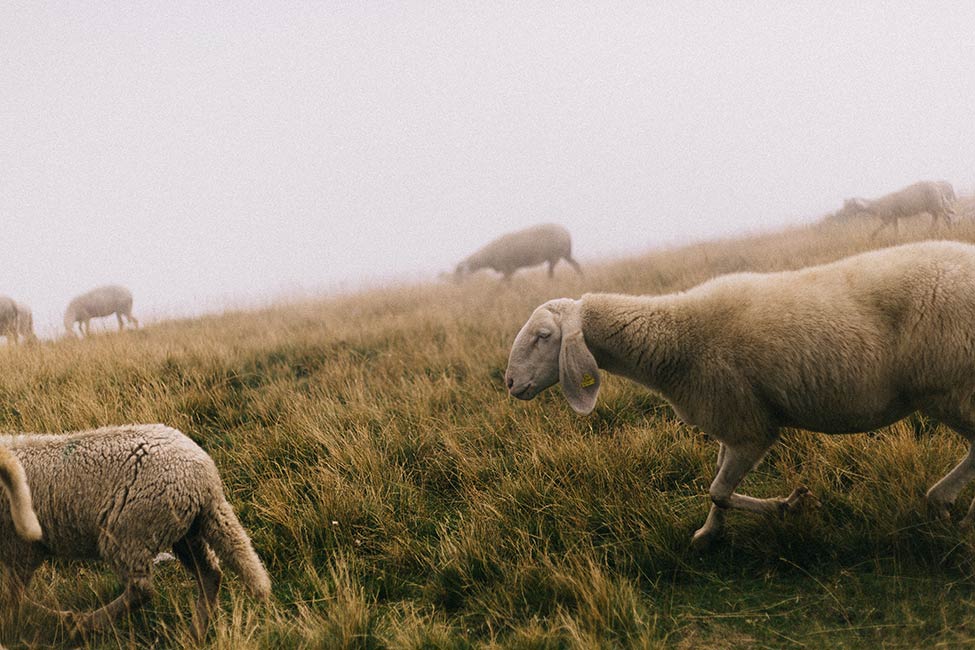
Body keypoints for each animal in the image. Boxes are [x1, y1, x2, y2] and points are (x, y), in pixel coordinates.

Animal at [0, 422, 268, 640]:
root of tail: (207, 482)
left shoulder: (21, 549)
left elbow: (14, 597)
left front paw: (31, 622)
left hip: (128, 533)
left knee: (141, 590)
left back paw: (84, 623)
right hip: (188, 531)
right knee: (210, 574)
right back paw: (196, 633)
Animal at [456, 221, 584, 280]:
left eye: (460, 272)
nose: (457, 285)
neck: (487, 256)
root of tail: (566, 233)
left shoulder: (508, 268)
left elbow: (502, 283)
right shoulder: (509, 270)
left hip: (555, 255)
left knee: (551, 273)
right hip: (565, 253)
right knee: (576, 264)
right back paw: (581, 277)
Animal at [510, 238, 975, 548]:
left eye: (543, 336)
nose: (510, 384)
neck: (674, 341)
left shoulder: (750, 428)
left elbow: (718, 489)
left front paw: (787, 505)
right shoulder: (730, 425)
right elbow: (718, 484)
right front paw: (708, 534)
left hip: (950, 389)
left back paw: (949, 506)